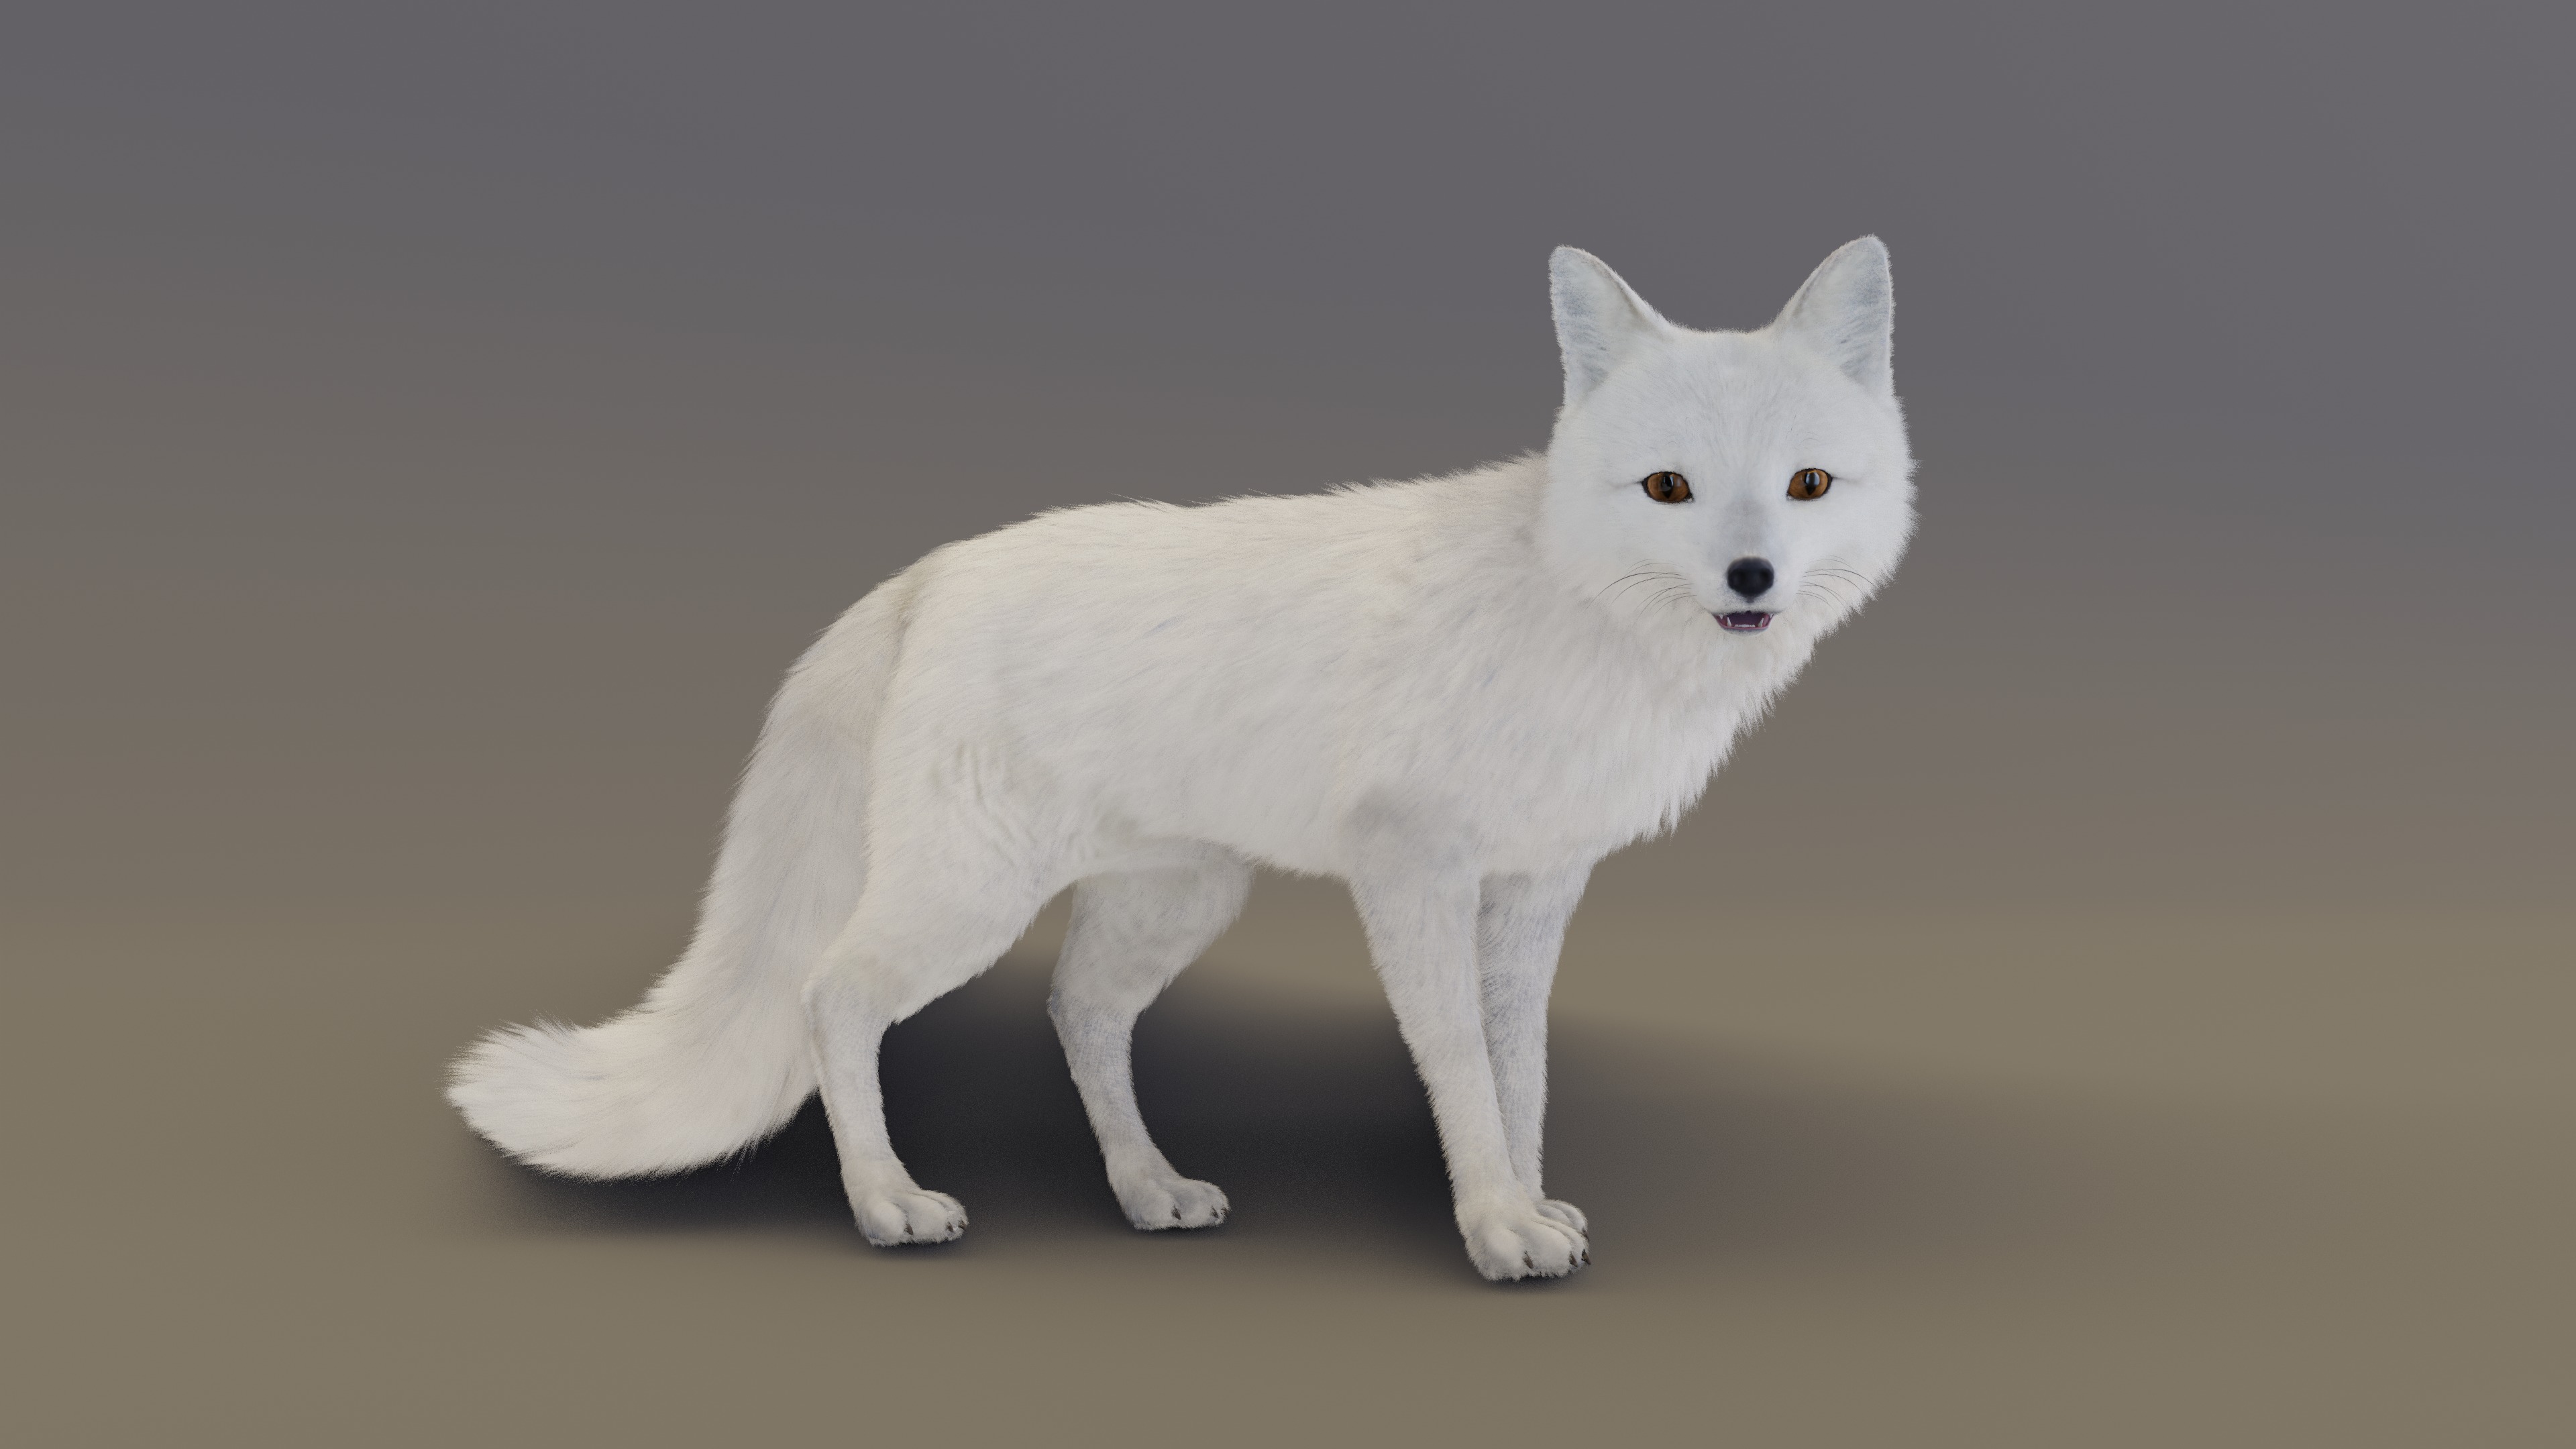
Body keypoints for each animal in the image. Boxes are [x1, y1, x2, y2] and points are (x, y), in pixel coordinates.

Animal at [449, 239, 1915, 1281]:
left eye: (1807, 486)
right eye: (1669, 488)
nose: (1751, 578)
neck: (1574, 614)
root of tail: (929, 572)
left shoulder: (1538, 885)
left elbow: (1523, 1069)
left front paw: (1533, 1199)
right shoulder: (1414, 871)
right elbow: (1455, 1060)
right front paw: (1496, 1228)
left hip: (1179, 897)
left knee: (1078, 1011)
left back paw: (1147, 1190)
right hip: (965, 904)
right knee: (832, 997)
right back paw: (886, 1205)